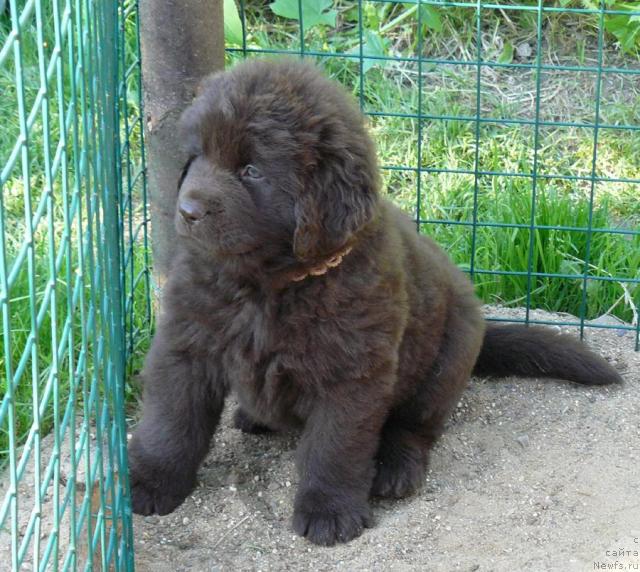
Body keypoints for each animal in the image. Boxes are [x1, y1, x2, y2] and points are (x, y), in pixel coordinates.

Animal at [127, 58, 624, 544]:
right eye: (197, 156)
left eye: (252, 170)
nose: (187, 211)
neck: (266, 285)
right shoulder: (186, 343)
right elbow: (169, 423)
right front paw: (147, 482)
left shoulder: (352, 373)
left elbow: (335, 446)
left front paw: (329, 511)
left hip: (446, 362)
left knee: (415, 427)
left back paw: (394, 470)